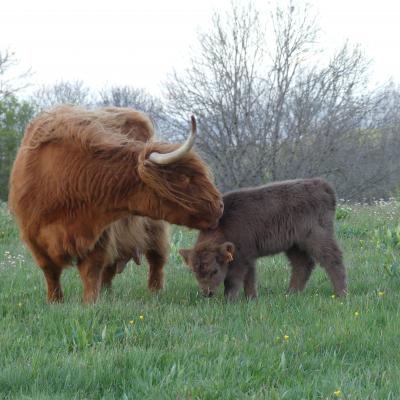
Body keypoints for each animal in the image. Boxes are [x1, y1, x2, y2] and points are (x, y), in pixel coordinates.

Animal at [8, 106, 222, 304]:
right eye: (186, 178)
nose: (220, 206)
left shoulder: (101, 235)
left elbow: (90, 270)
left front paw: (90, 303)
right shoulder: (33, 236)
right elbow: (50, 271)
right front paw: (55, 301)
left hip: (155, 229)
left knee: (156, 260)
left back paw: (155, 292)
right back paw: (107, 293)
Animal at [180, 178, 346, 300]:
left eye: (214, 270)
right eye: (194, 271)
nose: (207, 293)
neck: (224, 224)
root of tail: (322, 185)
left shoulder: (241, 257)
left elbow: (233, 279)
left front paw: (229, 299)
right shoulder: (248, 256)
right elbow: (250, 277)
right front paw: (251, 298)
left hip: (317, 236)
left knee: (332, 258)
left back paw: (341, 293)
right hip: (293, 245)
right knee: (303, 264)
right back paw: (291, 293)